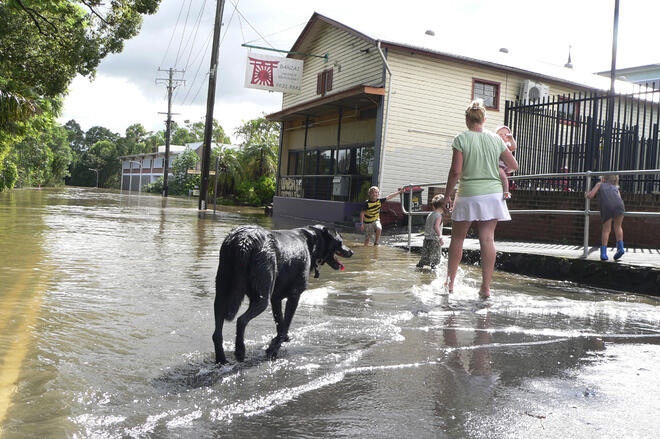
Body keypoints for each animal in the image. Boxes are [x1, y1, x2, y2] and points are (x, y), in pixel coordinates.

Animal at [214, 223, 354, 364]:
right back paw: (240, 352)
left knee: (216, 333)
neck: (313, 240)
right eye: (340, 241)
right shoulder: (294, 296)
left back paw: (221, 360)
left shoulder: (275, 298)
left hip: (221, 294)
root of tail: (244, 240)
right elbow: (286, 323)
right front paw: (274, 349)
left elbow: (280, 323)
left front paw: (279, 340)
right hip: (262, 298)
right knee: (241, 320)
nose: (351, 252)